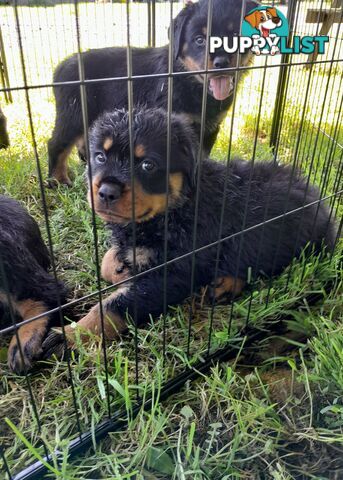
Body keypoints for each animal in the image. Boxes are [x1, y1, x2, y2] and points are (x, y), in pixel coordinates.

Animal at [43, 108, 336, 356]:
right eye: (101, 157)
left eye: (148, 165)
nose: (106, 192)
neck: (176, 208)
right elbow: (109, 261)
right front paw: (122, 269)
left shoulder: (177, 271)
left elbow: (113, 305)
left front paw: (71, 335)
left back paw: (226, 284)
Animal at [47, 0, 258, 185]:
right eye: (200, 40)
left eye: (237, 36)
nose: (221, 63)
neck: (188, 80)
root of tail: (60, 66)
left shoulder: (210, 127)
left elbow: (200, 158)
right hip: (73, 114)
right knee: (56, 144)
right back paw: (58, 180)